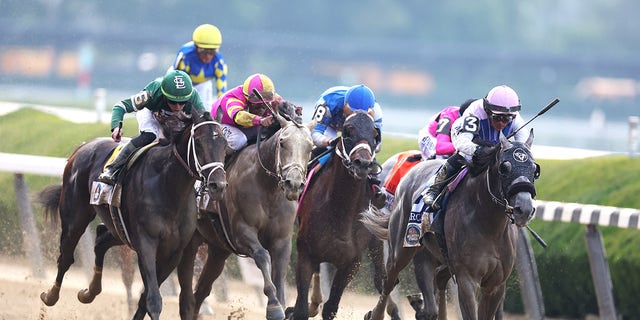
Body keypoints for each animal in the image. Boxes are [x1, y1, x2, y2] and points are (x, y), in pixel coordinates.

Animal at [37, 109, 228, 318]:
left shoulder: (173, 251)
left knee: (101, 240)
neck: (169, 187)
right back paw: (50, 296)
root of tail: (83, 145)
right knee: (66, 257)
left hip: (120, 229)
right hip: (75, 216)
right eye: (199, 142)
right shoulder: (145, 243)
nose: (218, 185)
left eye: (225, 144)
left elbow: (146, 297)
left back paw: (89, 292)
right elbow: (153, 299)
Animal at [178, 108, 316, 320]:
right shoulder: (242, 231)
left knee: (201, 290)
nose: (293, 184)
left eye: (310, 147)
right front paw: (274, 306)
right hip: (190, 241)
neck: (267, 188)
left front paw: (281, 304)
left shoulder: (282, 239)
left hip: (218, 250)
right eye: (283, 142)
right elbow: (262, 256)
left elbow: (280, 272)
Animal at [286, 110, 400, 320]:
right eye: (347, 132)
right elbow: (300, 310)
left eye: (375, 135)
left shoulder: (351, 262)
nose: (363, 163)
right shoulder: (306, 251)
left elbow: (331, 307)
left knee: (381, 278)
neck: (340, 209)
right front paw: (295, 309)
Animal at [362, 129, 536, 318]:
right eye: (504, 168)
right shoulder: (467, 279)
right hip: (402, 247)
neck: (489, 226)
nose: (524, 209)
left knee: (438, 279)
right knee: (389, 279)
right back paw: (375, 314)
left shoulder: (496, 284)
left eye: (535, 169)